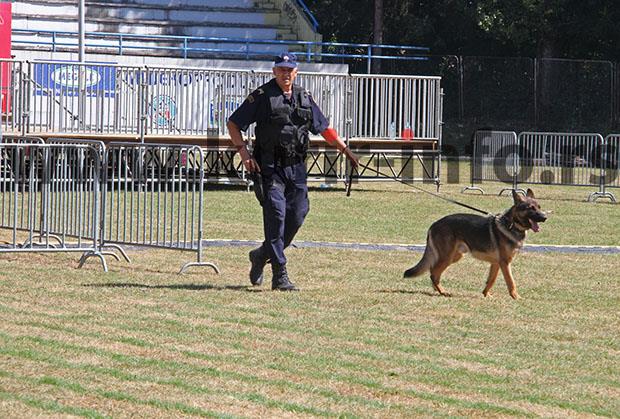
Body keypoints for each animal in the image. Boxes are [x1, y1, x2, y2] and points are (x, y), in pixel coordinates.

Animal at [406, 189, 548, 300]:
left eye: (539, 207)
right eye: (531, 208)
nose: (545, 217)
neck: (511, 224)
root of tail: (434, 224)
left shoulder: (496, 263)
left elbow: (491, 280)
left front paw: (486, 294)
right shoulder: (505, 262)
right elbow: (511, 282)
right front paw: (516, 297)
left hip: (455, 256)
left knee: (433, 270)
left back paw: (437, 289)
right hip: (447, 257)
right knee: (433, 272)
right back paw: (442, 291)